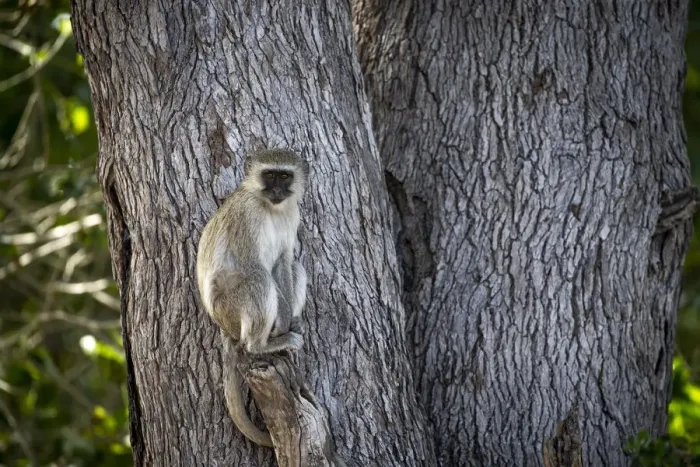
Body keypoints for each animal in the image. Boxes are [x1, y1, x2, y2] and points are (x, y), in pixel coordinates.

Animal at [196, 149, 309, 447]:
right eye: (269, 175)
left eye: (284, 176)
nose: (278, 190)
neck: (270, 208)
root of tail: (221, 323)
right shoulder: (247, 214)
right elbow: (254, 266)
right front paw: (281, 326)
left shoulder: (292, 212)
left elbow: (284, 262)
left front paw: (286, 321)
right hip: (229, 308)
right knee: (258, 281)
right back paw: (262, 345)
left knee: (296, 268)